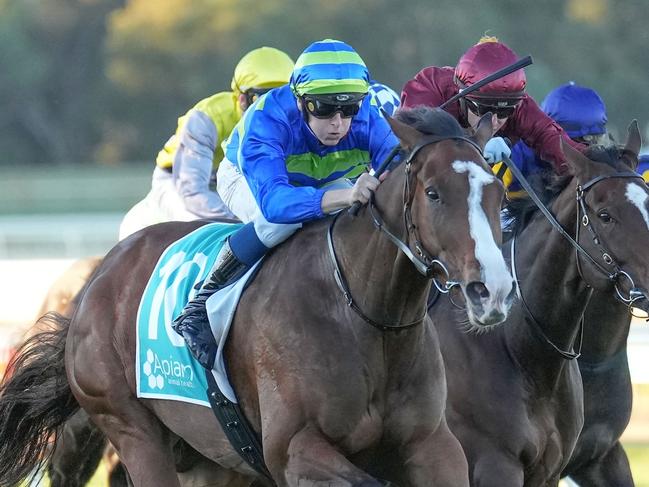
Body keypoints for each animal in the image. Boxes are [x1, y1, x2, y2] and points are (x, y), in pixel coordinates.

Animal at [1, 108, 516, 486]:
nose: (491, 290)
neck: (365, 318)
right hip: (131, 429)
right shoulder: (293, 449)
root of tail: (98, 278)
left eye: (498, 195)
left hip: (210, 458)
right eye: (432, 193)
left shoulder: (433, 445)